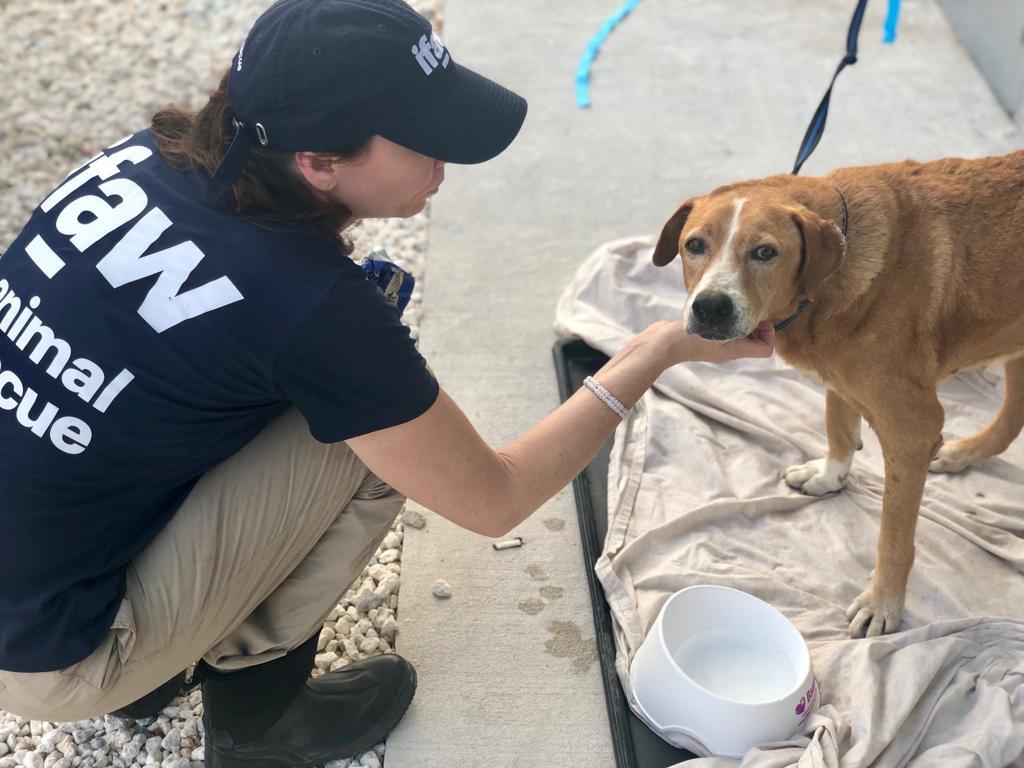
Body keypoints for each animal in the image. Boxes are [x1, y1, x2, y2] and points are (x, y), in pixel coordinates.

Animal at [651, 150, 1024, 638]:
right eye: (694, 245)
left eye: (765, 252)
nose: (710, 307)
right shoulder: (839, 377)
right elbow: (838, 429)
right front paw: (829, 477)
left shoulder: (913, 428)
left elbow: (894, 536)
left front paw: (883, 602)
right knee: (1012, 418)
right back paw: (964, 453)